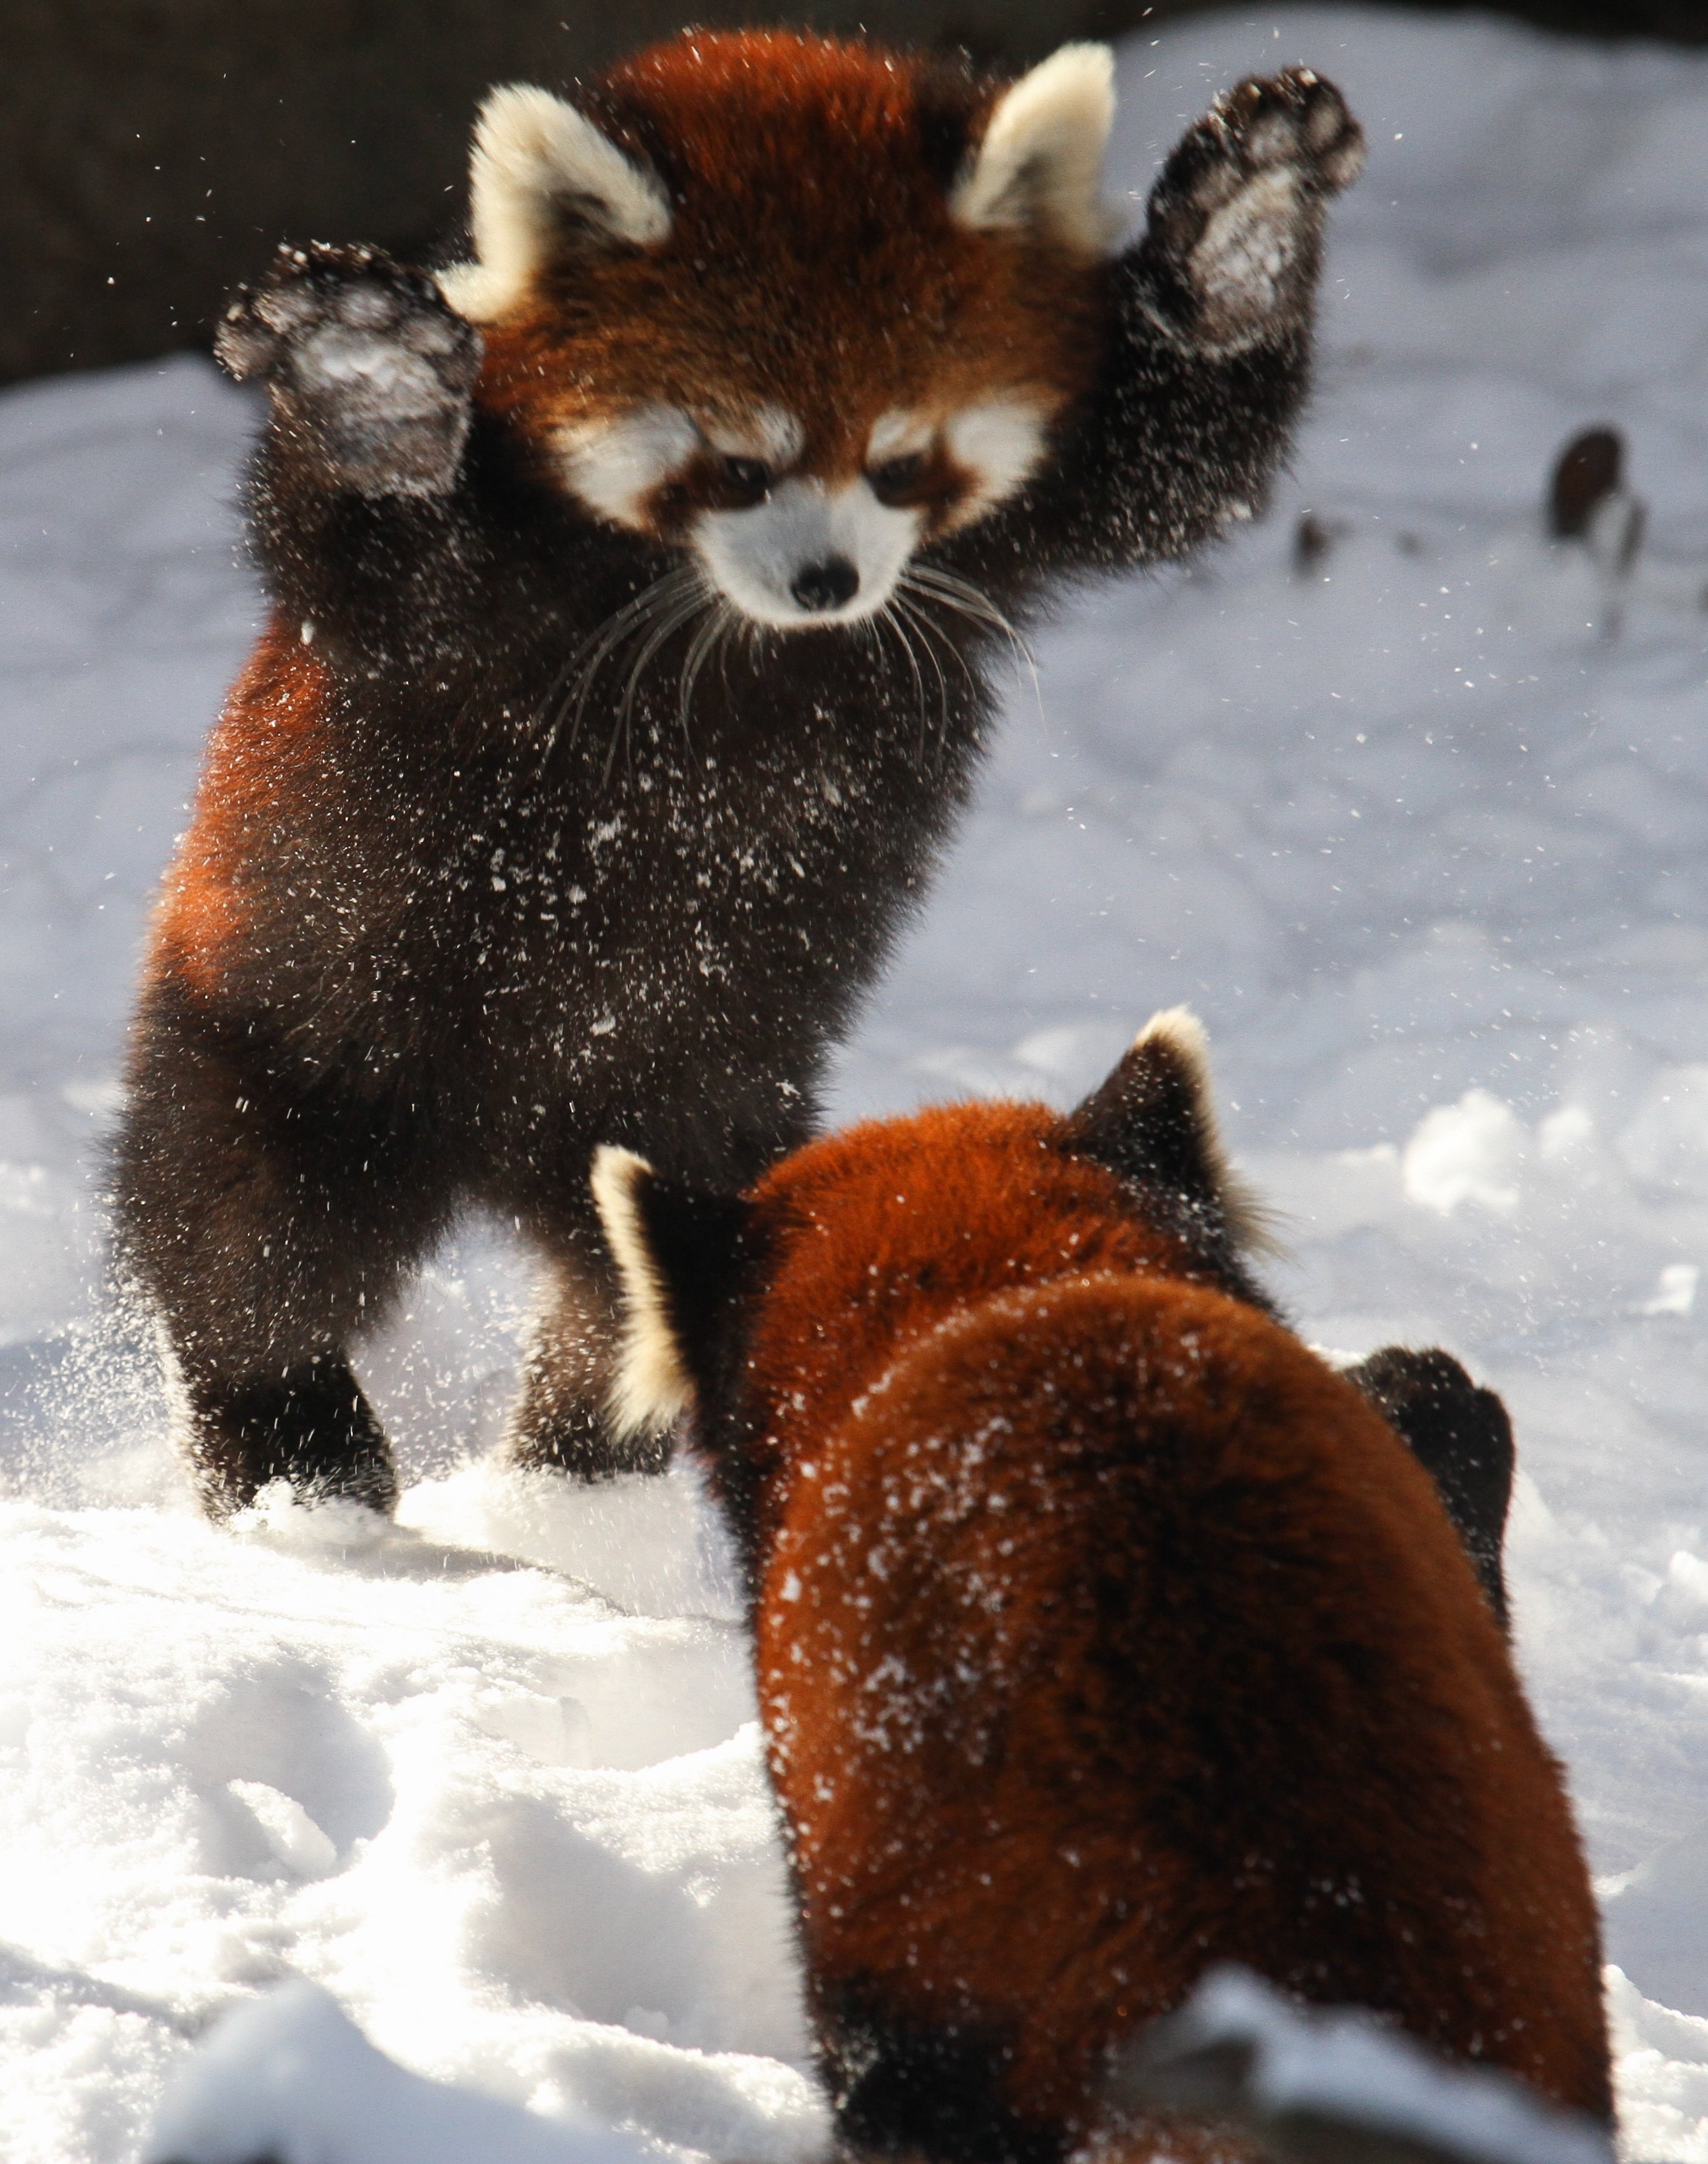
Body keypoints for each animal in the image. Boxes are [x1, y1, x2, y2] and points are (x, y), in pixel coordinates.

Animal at [113, 38, 1368, 1523]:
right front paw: (373, 392)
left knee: (638, 1290)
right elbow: (368, 566)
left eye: (900, 461)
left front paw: (1242, 220)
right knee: (246, 1240)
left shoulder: (1030, 512)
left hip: (706, 1105)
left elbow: (1187, 463)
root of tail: (500, 1150)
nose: (826, 582)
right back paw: (298, 1460)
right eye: (737, 466)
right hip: (299, 1026)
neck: (733, 626)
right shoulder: (470, 605)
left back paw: (578, 1474)